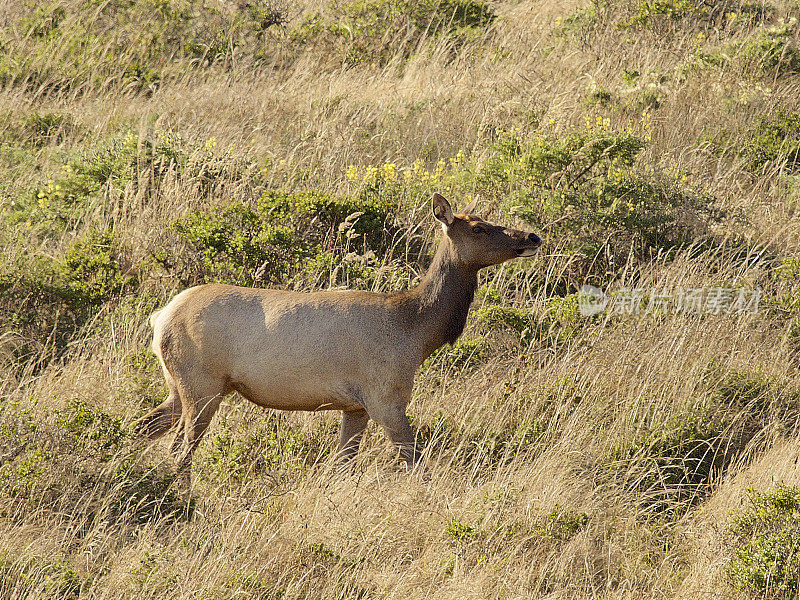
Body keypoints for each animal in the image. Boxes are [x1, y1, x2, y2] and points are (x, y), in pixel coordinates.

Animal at [136, 195, 544, 476]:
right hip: (201, 382)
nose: (532, 235)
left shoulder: (355, 406)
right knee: (179, 449)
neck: (415, 331)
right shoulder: (384, 396)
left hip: (179, 385)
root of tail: (160, 319)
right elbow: (415, 461)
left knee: (142, 426)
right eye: (478, 227)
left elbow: (345, 465)